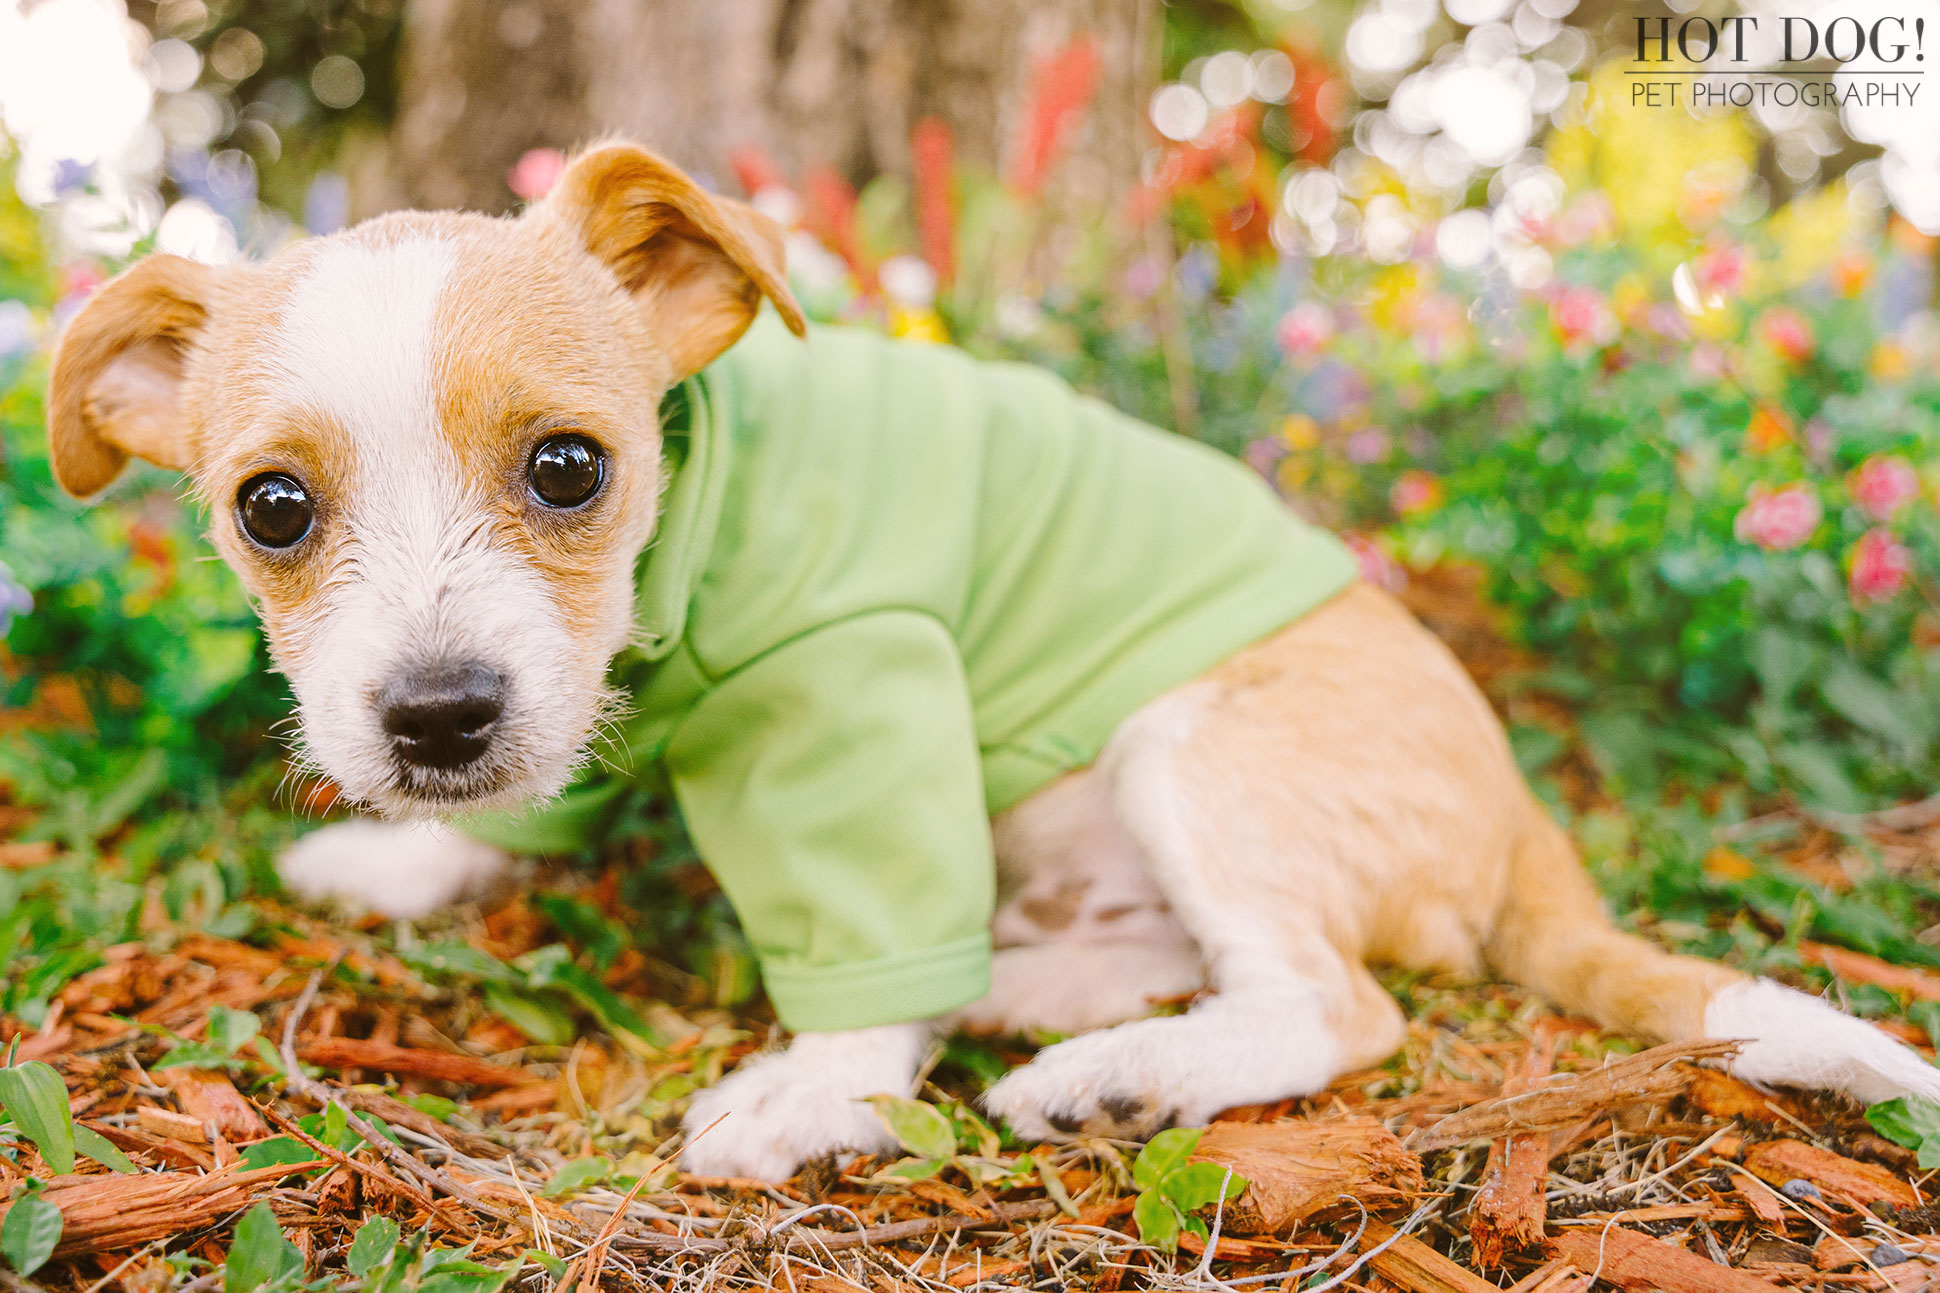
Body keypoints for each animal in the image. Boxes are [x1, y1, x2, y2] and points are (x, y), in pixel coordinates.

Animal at [45, 140, 1940, 1180]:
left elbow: (868, 928)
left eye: (569, 467)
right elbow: (528, 800)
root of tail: (1526, 822)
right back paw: (1038, 995)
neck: (693, 525)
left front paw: (823, 1086)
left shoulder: (862, 693)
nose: (436, 719)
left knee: (1330, 1001)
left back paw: (1108, 1071)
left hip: (1192, 741)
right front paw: (404, 854)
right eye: (272, 508)